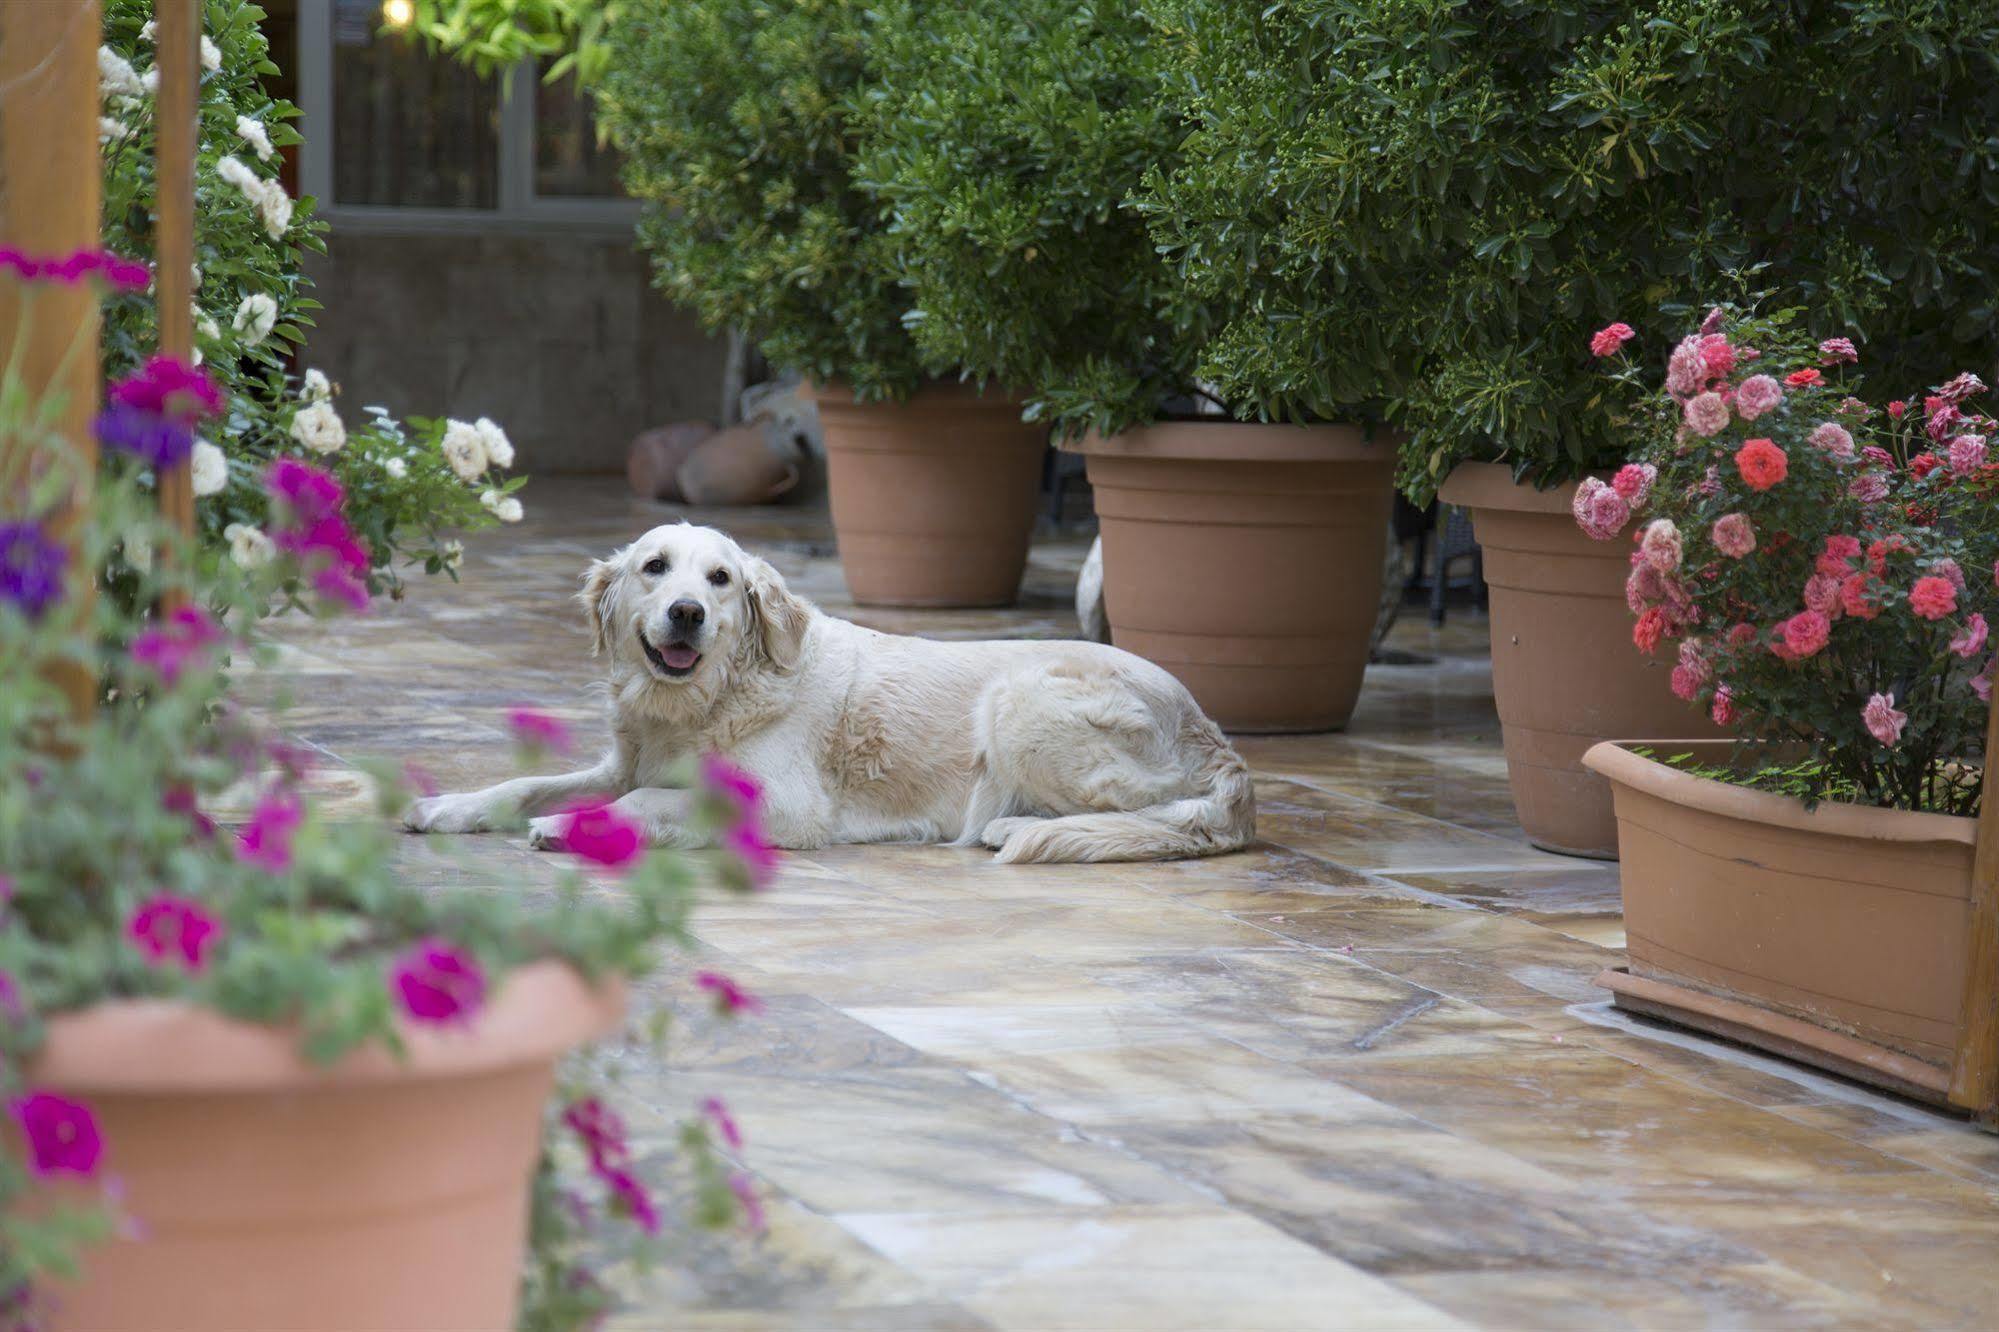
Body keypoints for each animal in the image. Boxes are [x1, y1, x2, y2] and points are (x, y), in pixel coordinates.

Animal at [401, 520, 1247, 860]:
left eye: (720, 579)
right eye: (654, 568)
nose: (687, 612)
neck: (706, 702)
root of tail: (1221, 744)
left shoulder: (786, 804)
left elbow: (647, 802)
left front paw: (573, 828)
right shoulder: (625, 760)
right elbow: (529, 782)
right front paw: (450, 808)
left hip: (1020, 701)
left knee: (1169, 819)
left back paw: (1014, 826)